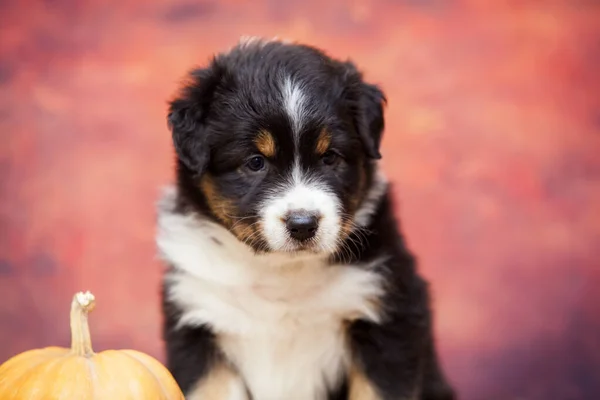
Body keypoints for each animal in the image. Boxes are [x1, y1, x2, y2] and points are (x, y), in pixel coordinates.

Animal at [157, 38, 452, 400]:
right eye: (256, 161)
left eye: (330, 158)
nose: (302, 224)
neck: (282, 274)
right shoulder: (198, 318)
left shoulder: (389, 316)